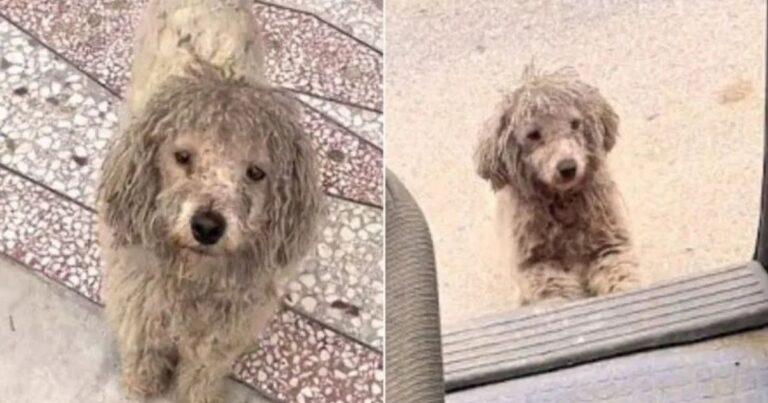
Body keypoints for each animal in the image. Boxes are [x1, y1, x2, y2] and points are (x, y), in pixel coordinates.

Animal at [98, 1, 320, 402]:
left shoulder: (218, 338)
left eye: (255, 172)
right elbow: (142, 356)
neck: (192, 277)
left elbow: (200, 377)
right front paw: (141, 386)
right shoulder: (140, 310)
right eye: (182, 156)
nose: (206, 226)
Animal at [474, 66, 640, 306]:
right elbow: (556, 291)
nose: (568, 167)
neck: (563, 203)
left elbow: (620, 274)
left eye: (575, 124)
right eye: (533, 134)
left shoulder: (609, 244)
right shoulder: (539, 265)